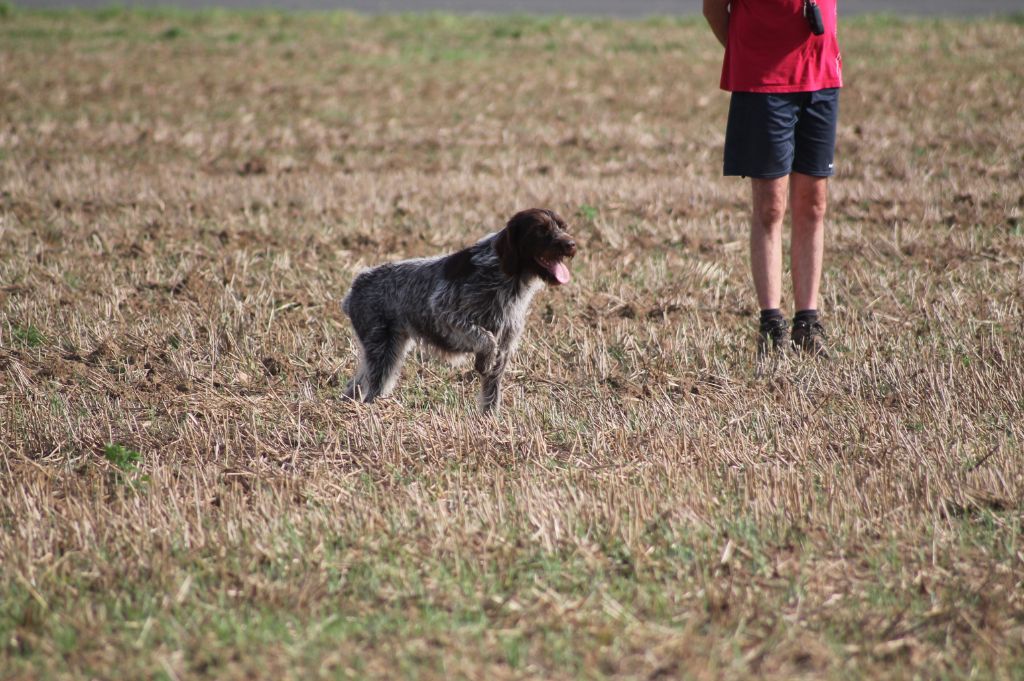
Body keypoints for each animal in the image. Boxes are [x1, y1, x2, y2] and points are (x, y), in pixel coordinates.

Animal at [339, 204, 573, 411]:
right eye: (540, 230)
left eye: (563, 226)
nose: (571, 244)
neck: (503, 273)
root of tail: (357, 284)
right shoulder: (445, 312)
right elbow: (486, 338)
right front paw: (483, 361)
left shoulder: (505, 344)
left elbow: (492, 393)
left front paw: (491, 423)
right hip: (382, 351)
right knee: (371, 391)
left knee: (355, 386)